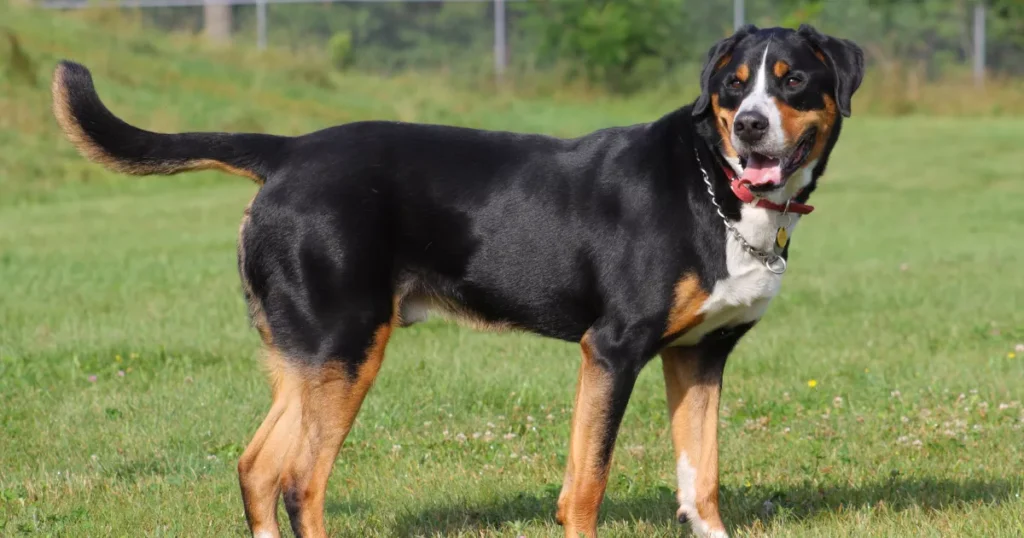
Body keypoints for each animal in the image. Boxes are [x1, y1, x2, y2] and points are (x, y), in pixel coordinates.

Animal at [49, 24, 864, 536]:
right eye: (732, 86)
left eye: (792, 81)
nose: (751, 126)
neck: (716, 189)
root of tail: (288, 151)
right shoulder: (612, 349)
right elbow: (587, 485)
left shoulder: (700, 356)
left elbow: (703, 483)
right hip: (349, 347)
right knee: (300, 482)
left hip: (311, 358)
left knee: (257, 469)